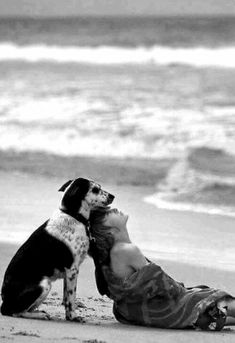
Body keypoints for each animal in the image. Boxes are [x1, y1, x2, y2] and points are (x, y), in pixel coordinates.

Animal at [0, 179, 114, 322]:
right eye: (95, 189)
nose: (112, 196)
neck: (73, 215)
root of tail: (4, 301)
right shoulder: (72, 269)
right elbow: (71, 297)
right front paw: (73, 317)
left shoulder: (68, 272)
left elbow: (66, 296)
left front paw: (69, 314)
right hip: (44, 285)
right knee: (15, 312)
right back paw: (40, 315)